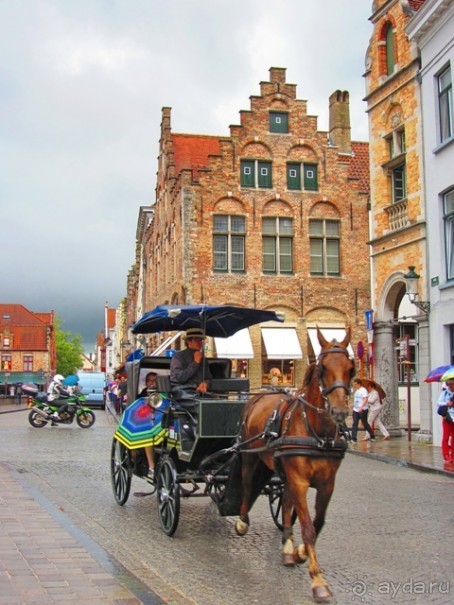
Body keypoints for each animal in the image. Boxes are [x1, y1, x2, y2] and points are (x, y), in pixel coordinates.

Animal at [234, 328, 354, 600]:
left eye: (351, 368)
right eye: (322, 367)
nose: (340, 411)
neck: (317, 432)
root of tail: (258, 396)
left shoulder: (327, 483)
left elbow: (317, 523)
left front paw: (300, 552)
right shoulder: (299, 479)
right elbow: (308, 526)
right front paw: (318, 581)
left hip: (284, 470)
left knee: (286, 500)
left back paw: (288, 547)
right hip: (250, 455)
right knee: (246, 485)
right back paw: (242, 522)